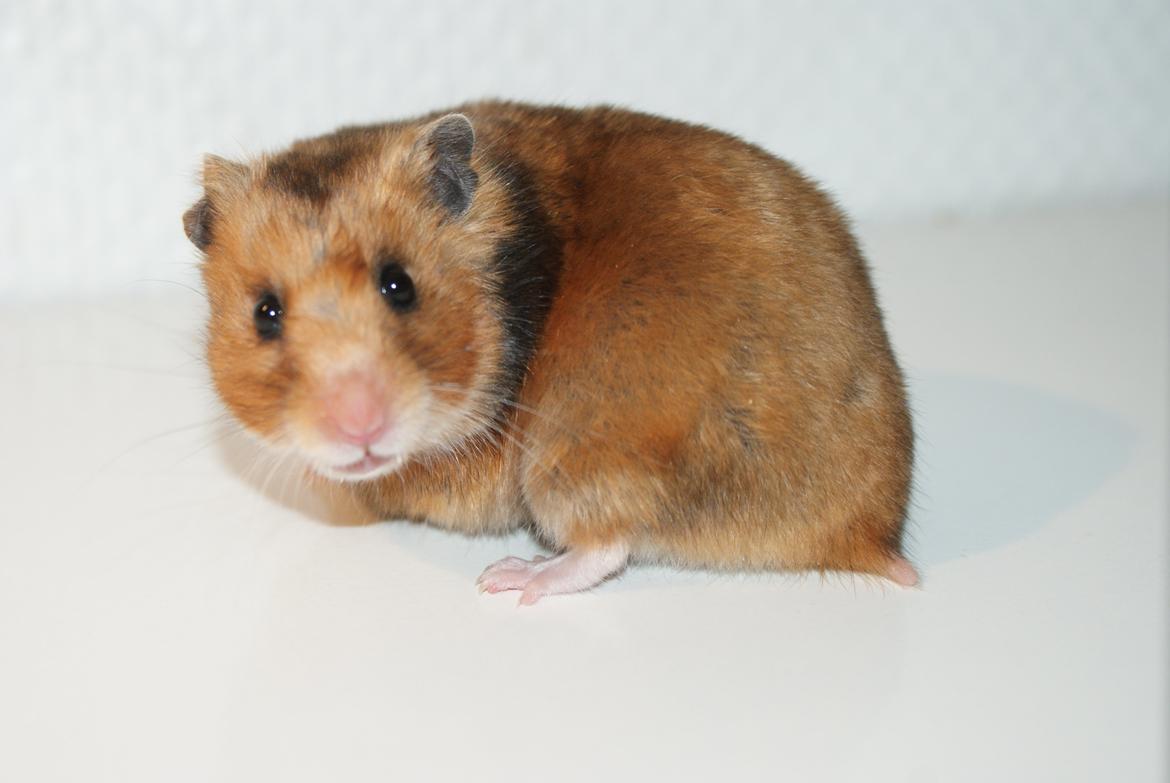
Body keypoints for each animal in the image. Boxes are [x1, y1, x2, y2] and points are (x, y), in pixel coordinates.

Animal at [184, 101, 918, 604]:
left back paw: (512, 578)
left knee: (606, 544)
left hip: (581, 447)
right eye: (265, 314)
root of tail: (869, 532)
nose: (356, 427)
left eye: (401, 285)